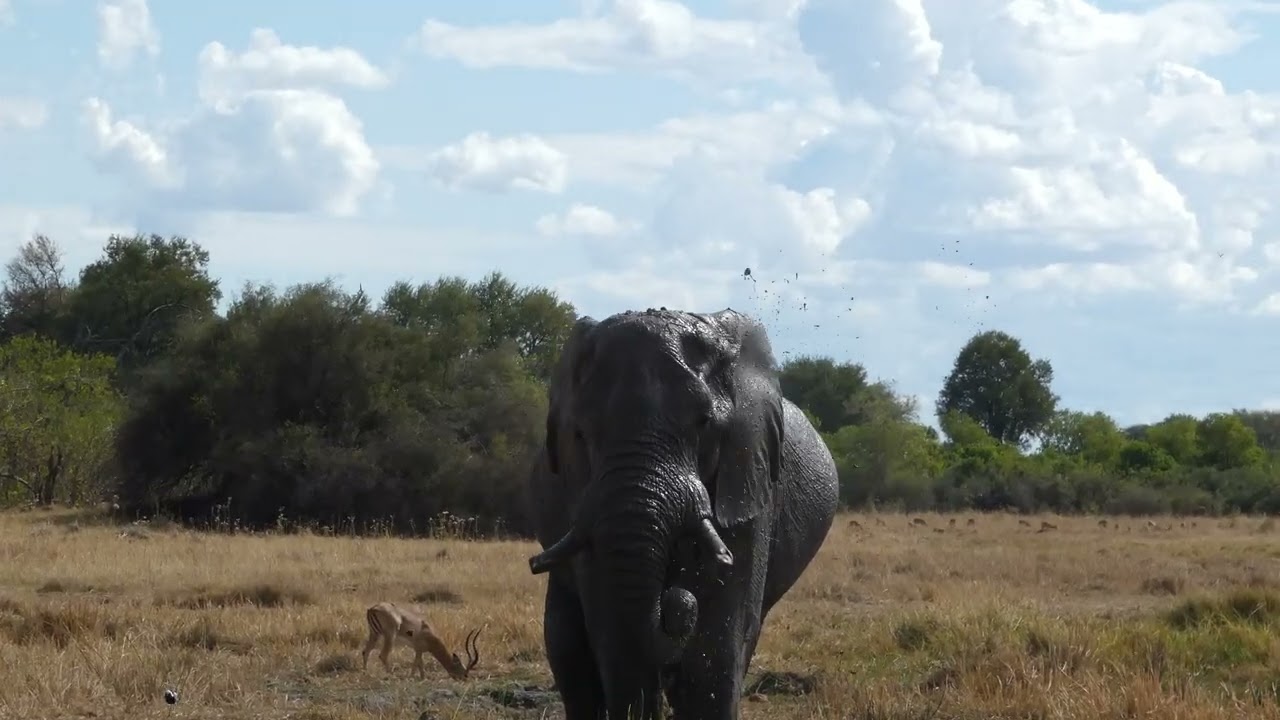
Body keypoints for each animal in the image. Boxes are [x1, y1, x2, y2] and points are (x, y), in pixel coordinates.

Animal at [524, 307, 839, 719]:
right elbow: (614, 634)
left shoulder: (748, 475)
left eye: (704, 421)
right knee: (566, 647)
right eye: (580, 433)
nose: (675, 599)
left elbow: (718, 638)